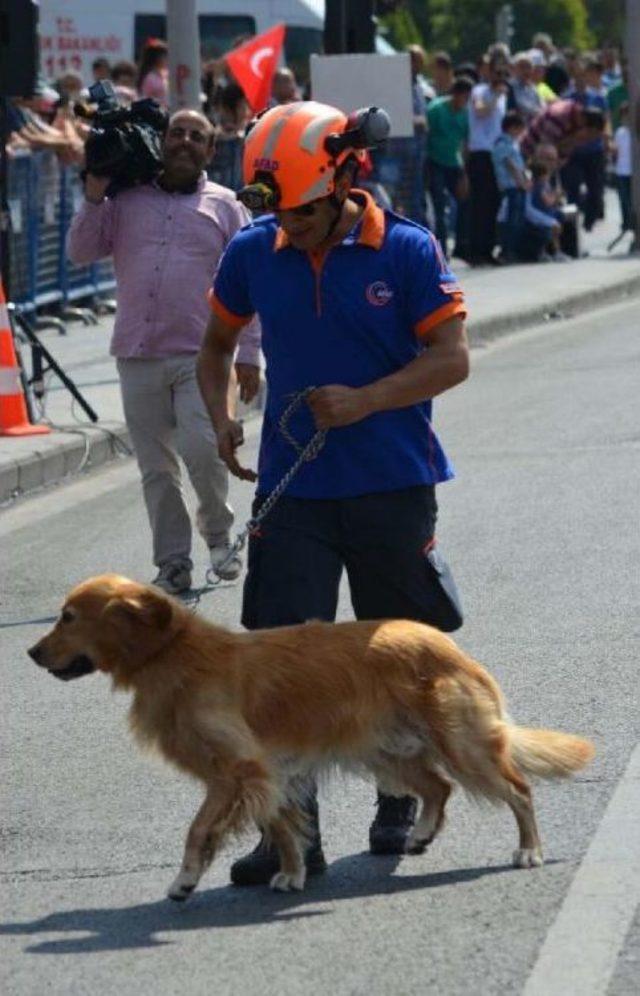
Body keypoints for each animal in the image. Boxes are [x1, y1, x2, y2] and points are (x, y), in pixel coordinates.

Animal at [27, 572, 592, 900]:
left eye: (68, 617)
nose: (31, 653)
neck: (172, 654)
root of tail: (447, 645)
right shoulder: (267, 773)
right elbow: (281, 826)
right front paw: (293, 872)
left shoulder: (238, 770)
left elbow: (198, 829)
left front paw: (185, 880)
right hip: (386, 750)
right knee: (438, 787)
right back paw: (420, 833)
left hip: (461, 743)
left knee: (518, 790)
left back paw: (529, 850)